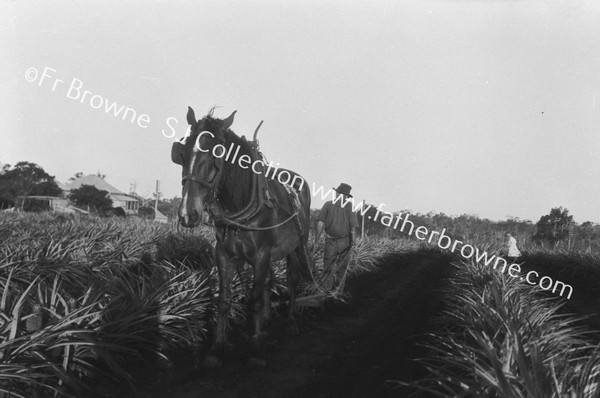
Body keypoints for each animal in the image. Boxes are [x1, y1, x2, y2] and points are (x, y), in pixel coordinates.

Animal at [169, 105, 310, 366]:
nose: (187, 213)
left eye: (217, 154)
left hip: (297, 247)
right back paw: (267, 320)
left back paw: (290, 322)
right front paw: (217, 347)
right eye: (181, 153)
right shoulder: (223, 254)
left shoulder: (262, 254)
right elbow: (224, 300)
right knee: (269, 282)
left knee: (291, 281)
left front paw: (256, 347)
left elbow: (254, 300)